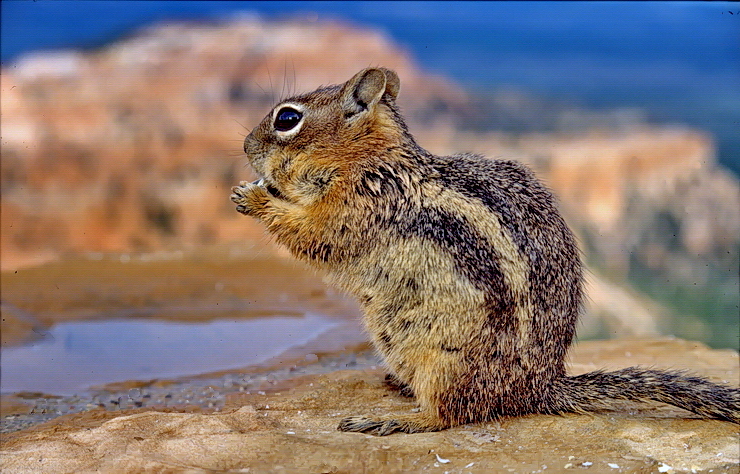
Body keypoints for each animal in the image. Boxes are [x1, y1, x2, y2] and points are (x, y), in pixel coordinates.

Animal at [231, 67, 740, 436]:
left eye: (287, 119)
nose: (245, 144)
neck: (371, 162)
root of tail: (537, 389)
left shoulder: (358, 207)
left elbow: (313, 234)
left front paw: (252, 197)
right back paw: (397, 386)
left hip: (447, 361)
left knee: (452, 415)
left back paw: (394, 419)